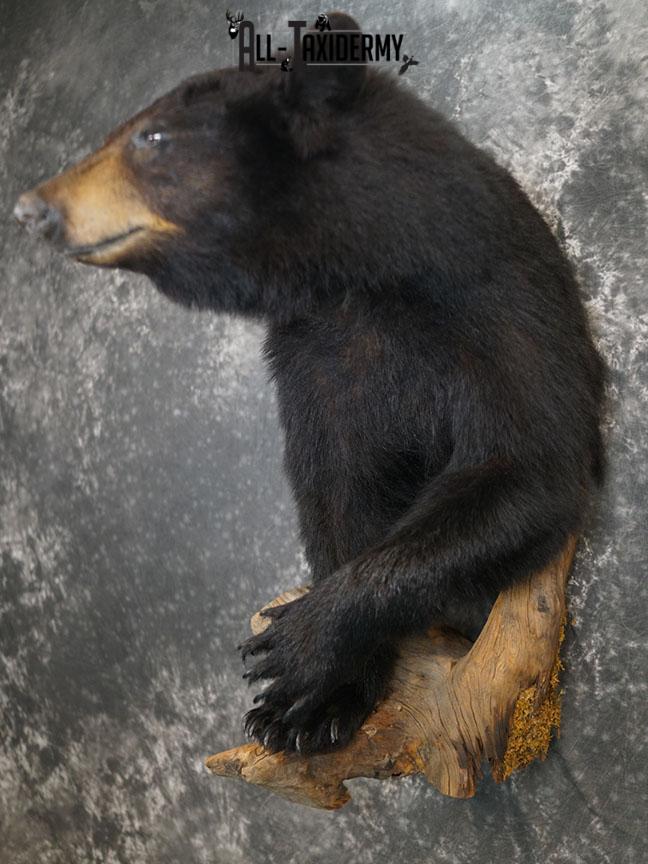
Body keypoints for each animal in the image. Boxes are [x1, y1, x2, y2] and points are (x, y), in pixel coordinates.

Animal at [13, 12, 605, 756]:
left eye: (151, 138)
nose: (31, 208)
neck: (367, 276)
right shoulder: (314, 354)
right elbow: (337, 482)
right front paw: (309, 704)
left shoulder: (497, 312)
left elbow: (523, 467)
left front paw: (298, 645)